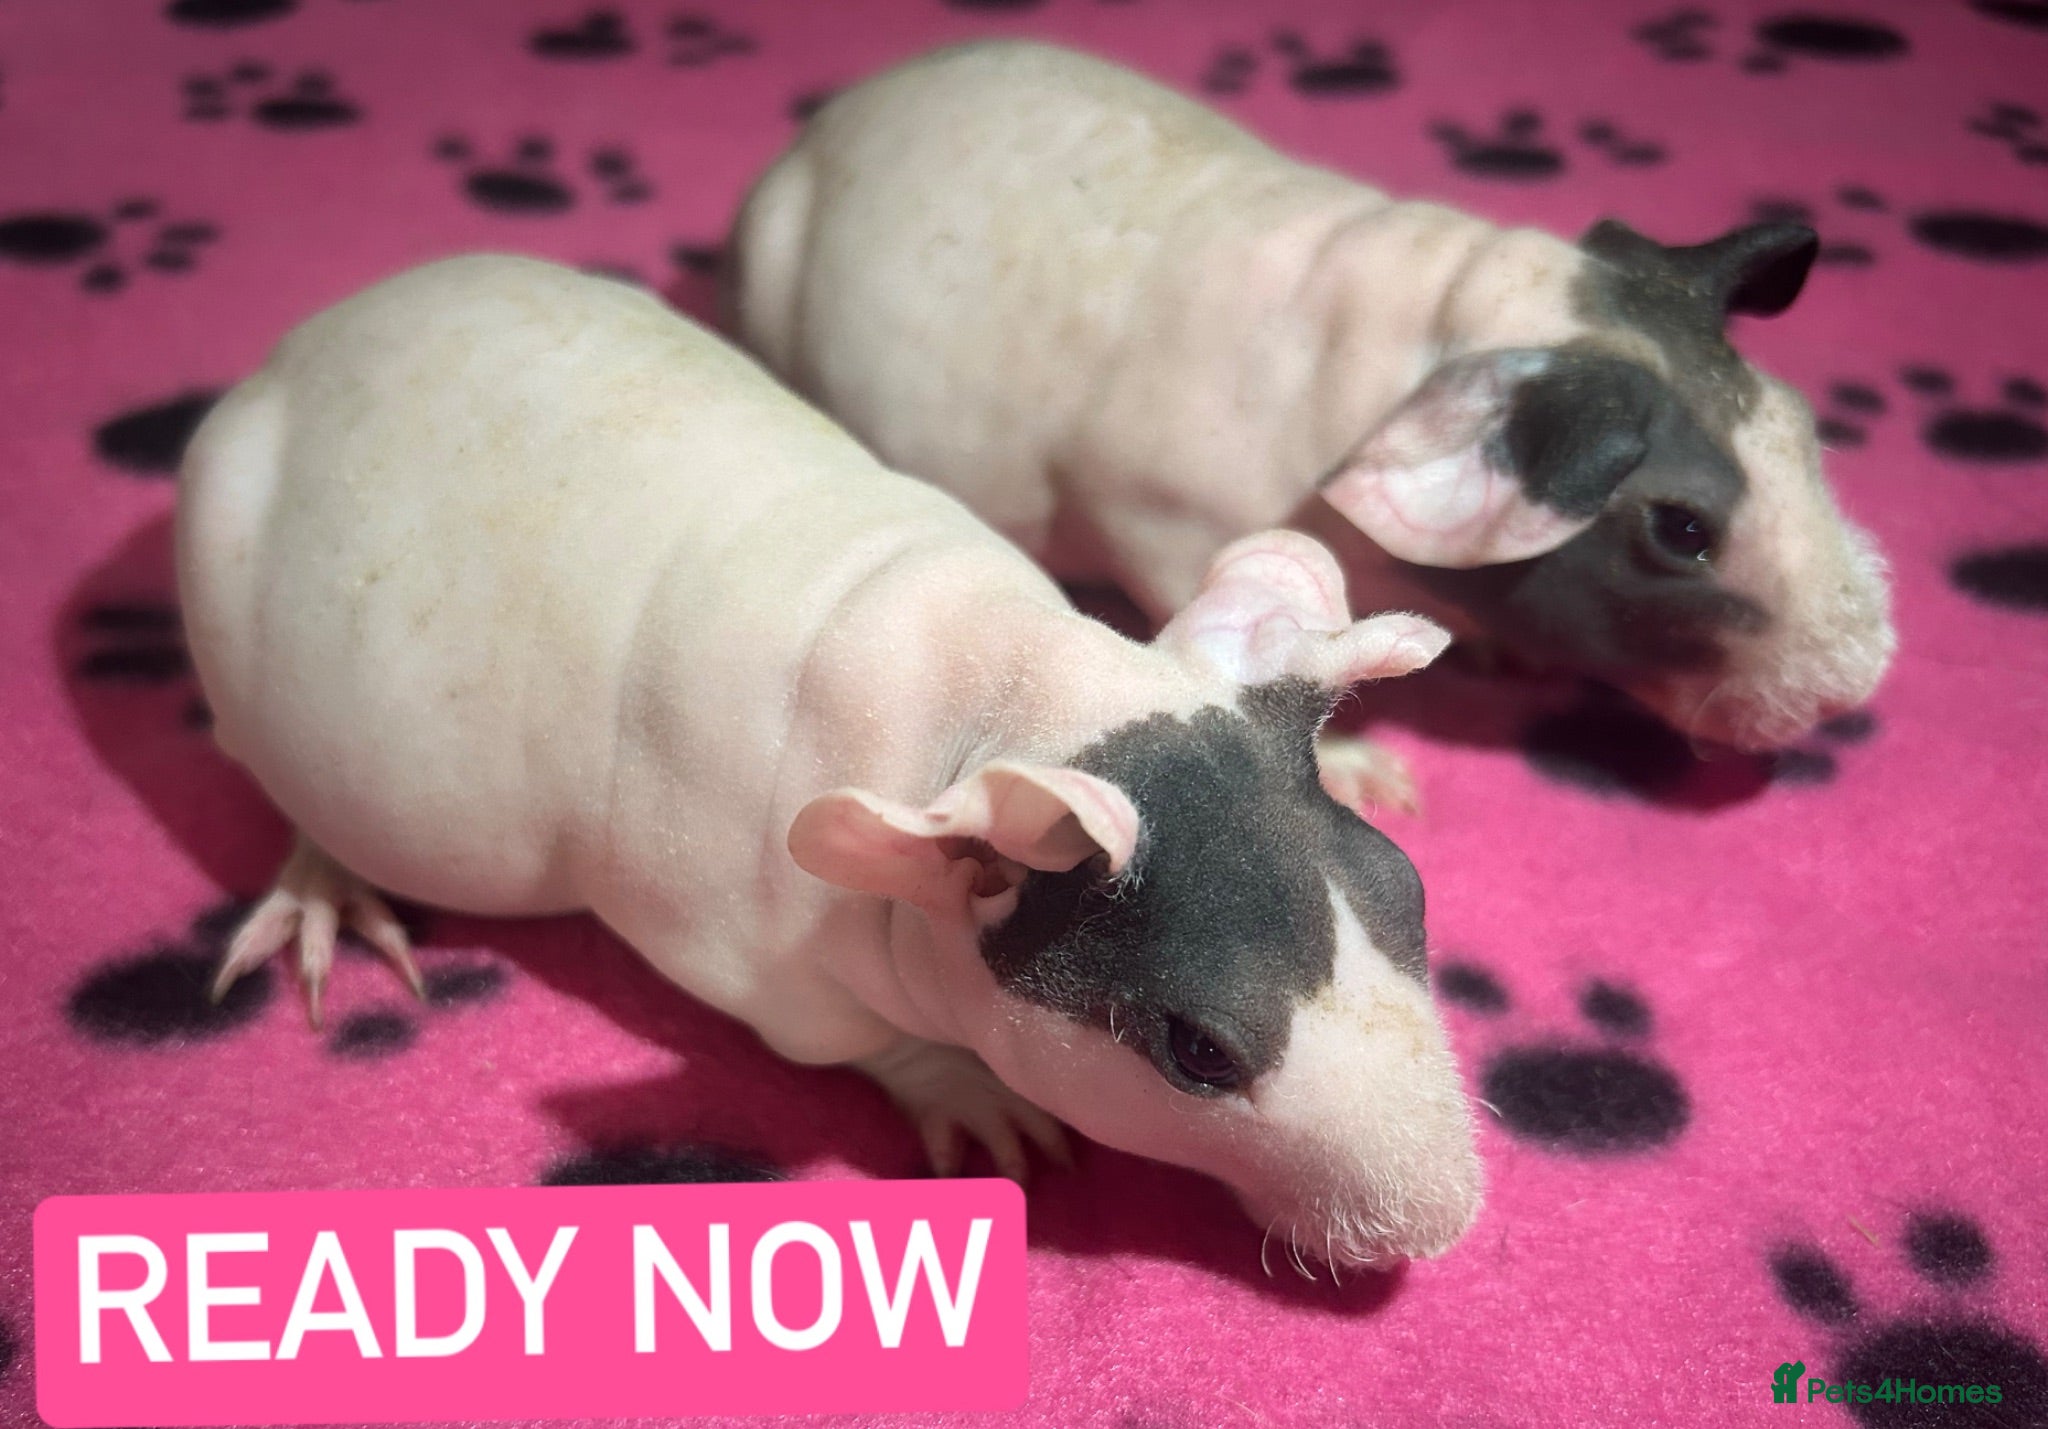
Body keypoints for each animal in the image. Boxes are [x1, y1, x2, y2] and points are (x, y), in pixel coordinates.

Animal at [175, 254, 1483, 1268]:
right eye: (1198, 1052)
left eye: (1414, 896)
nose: (1440, 1216)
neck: (990, 702)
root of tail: (296, 350)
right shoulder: (740, 942)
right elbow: (834, 1033)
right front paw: (972, 1092)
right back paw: (321, 886)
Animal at [727, 39, 1895, 786]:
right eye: (1683, 530)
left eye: (1800, 425)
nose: (1859, 679)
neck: (1460, 313)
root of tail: (817, 132)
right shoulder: (1168, 527)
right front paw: (1373, 772)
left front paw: (1498, 658)